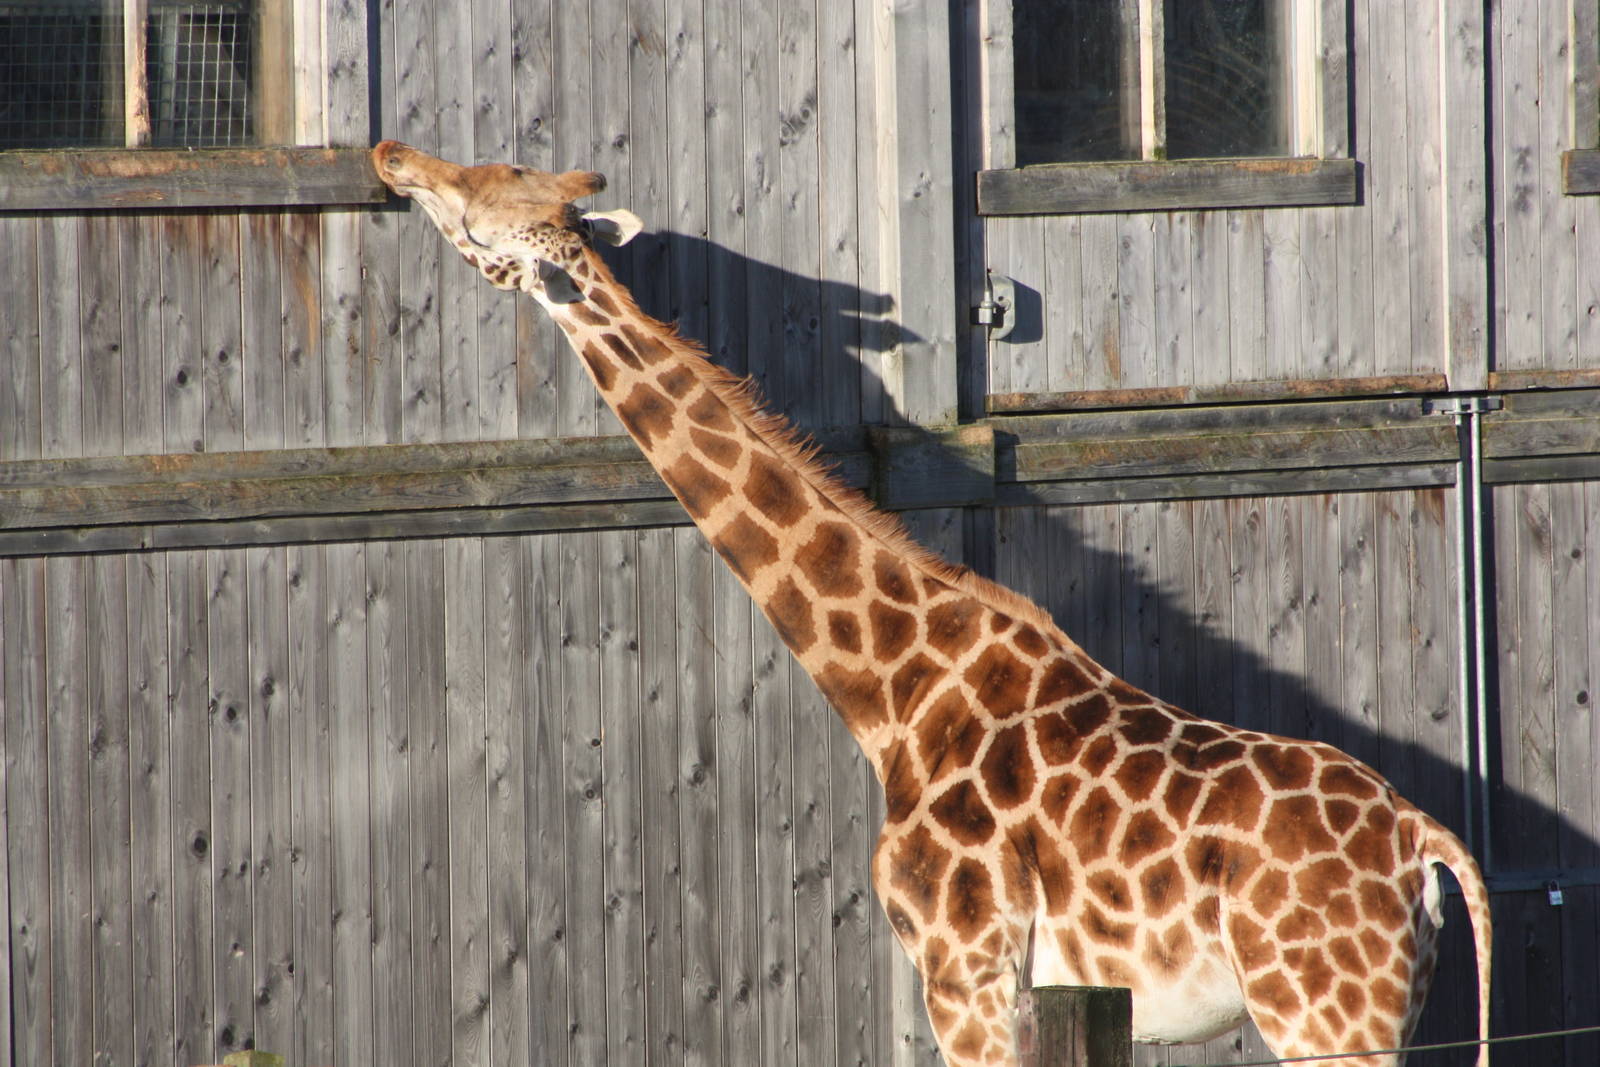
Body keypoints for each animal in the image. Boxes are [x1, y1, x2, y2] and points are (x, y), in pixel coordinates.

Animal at [371, 140, 1492, 1067]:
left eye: (480, 203)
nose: (390, 155)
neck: (894, 695)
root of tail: (1425, 843)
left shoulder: (965, 971)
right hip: (1378, 1011)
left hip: (1322, 1012)